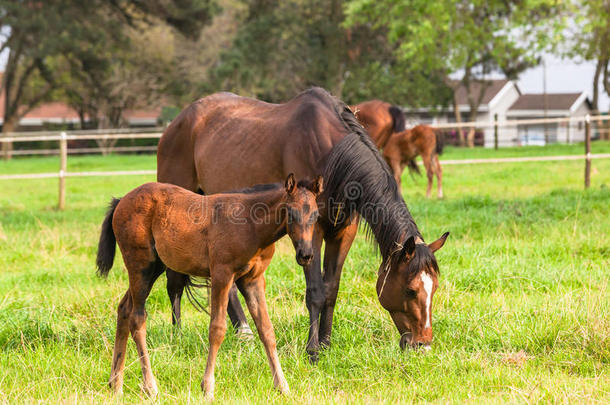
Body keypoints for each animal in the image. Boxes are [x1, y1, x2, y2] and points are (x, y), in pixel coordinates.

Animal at [95, 174, 320, 398]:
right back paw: (150, 386)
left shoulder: (253, 280)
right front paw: (208, 387)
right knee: (137, 318)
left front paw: (282, 386)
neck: (250, 224)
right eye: (290, 212)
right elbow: (217, 329)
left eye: (316, 214)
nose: (306, 255)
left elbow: (266, 330)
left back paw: (116, 384)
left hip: (154, 268)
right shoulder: (222, 275)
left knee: (124, 309)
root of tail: (121, 201)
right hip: (141, 266)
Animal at [157, 88, 446, 360]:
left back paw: (244, 332)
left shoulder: (343, 232)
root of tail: (177, 123)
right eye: (410, 290)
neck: (332, 155)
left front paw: (327, 344)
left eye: (434, 288)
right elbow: (316, 291)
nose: (422, 345)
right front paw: (313, 351)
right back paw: (177, 334)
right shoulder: (311, 232)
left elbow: (331, 289)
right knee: (174, 279)